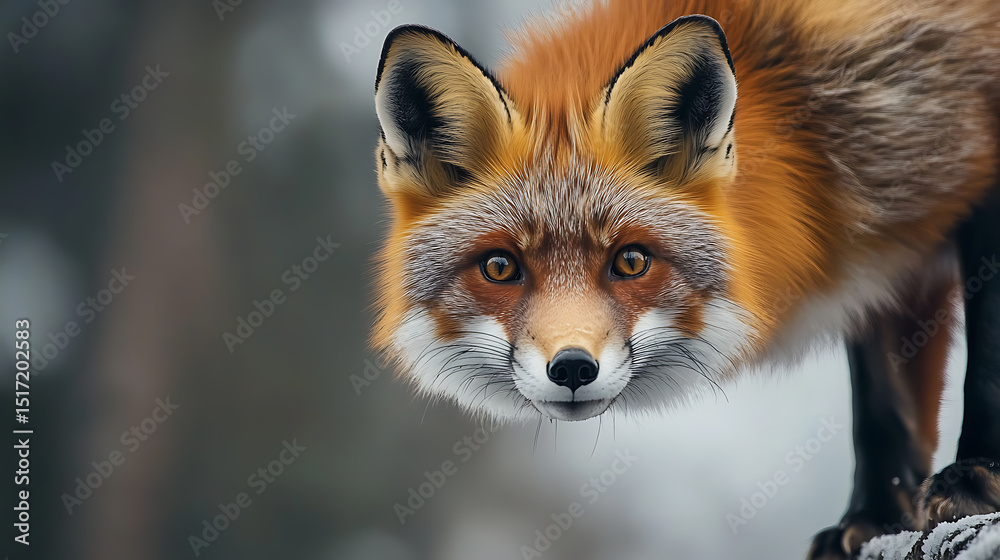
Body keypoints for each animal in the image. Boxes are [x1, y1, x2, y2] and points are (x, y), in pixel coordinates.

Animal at [368, 0, 1000, 556]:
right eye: (500, 267)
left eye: (631, 261)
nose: (572, 368)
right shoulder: (889, 248)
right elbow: (882, 410)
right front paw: (876, 519)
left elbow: (984, 368)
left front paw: (975, 475)